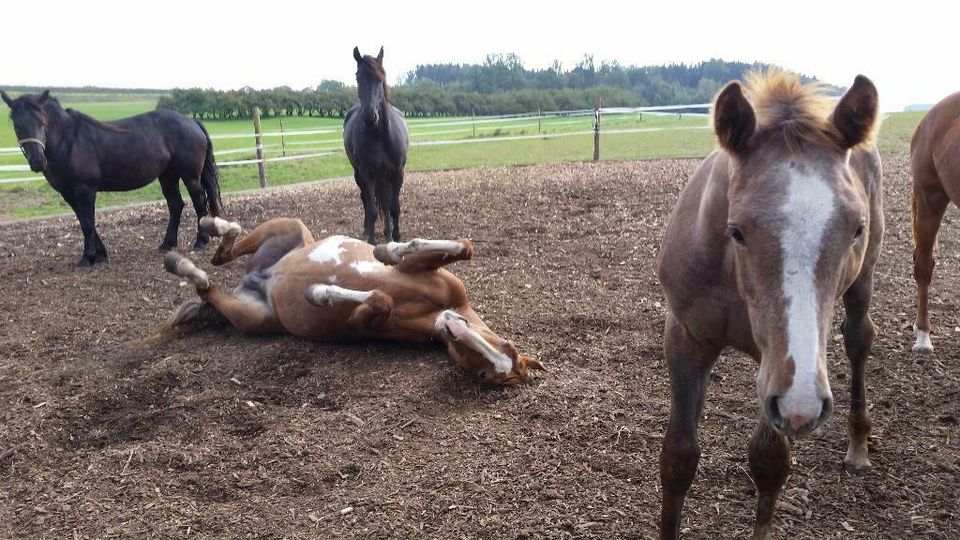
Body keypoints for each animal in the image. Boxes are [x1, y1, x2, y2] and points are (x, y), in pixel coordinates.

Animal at [2, 89, 223, 268]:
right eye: (17, 125)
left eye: (42, 122)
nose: (37, 161)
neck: (69, 141)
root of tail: (191, 121)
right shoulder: (68, 193)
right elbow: (84, 221)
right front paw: (100, 255)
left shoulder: (85, 189)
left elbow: (87, 223)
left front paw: (87, 258)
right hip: (167, 176)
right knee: (176, 205)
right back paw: (167, 243)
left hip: (190, 176)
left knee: (199, 202)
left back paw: (200, 241)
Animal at [161, 215, 544, 384]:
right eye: (506, 343)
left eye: (485, 375)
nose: (452, 327)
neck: (437, 310)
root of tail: (258, 280)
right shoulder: (425, 271)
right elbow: (463, 247)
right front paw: (385, 248)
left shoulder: (363, 323)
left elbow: (379, 300)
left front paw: (318, 292)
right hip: (289, 227)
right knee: (223, 252)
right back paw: (209, 226)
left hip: (252, 317)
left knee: (207, 283)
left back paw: (184, 265)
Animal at [344, 46, 406, 243]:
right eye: (358, 77)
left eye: (380, 78)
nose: (370, 117)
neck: (380, 136)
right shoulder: (367, 174)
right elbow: (371, 209)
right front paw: (372, 240)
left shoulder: (397, 173)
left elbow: (393, 207)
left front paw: (396, 236)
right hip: (360, 175)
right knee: (366, 199)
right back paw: (367, 230)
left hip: (384, 176)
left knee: (385, 204)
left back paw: (388, 232)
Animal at [656, 70, 880, 536]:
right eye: (737, 230)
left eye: (856, 228)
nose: (804, 406)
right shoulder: (685, 339)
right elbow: (678, 458)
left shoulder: (780, 367)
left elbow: (769, 462)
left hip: (860, 287)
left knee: (858, 339)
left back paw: (858, 447)